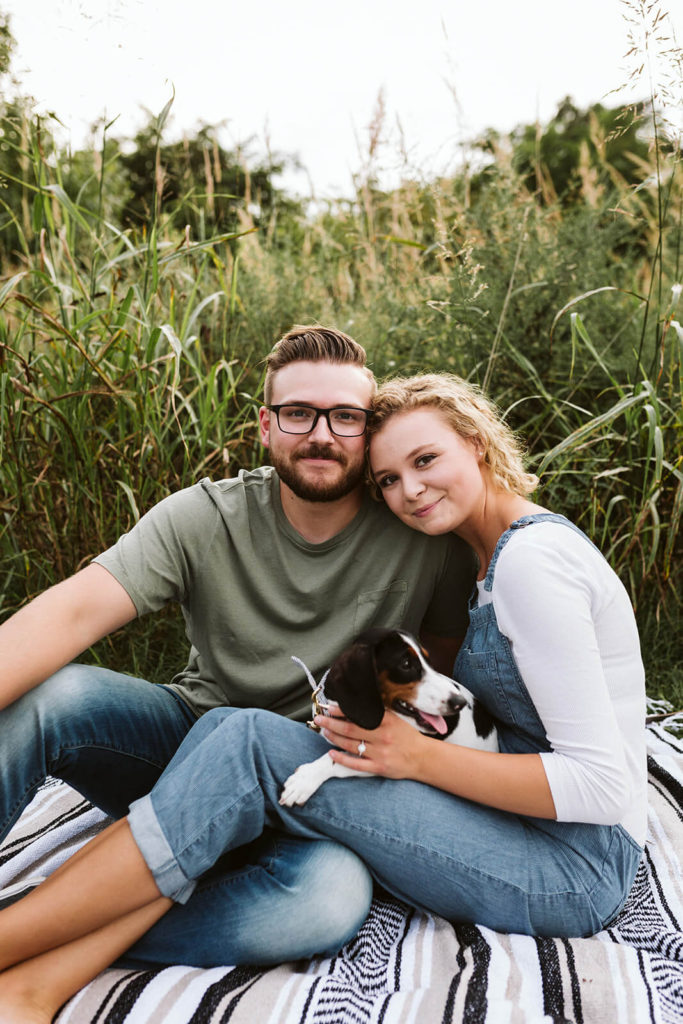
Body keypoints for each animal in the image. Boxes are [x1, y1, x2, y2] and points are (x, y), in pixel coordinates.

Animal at [280, 622, 499, 806]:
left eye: (428, 661)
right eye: (406, 664)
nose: (459, 703)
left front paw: (305, 779)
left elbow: (336, 759)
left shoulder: (380, 761)